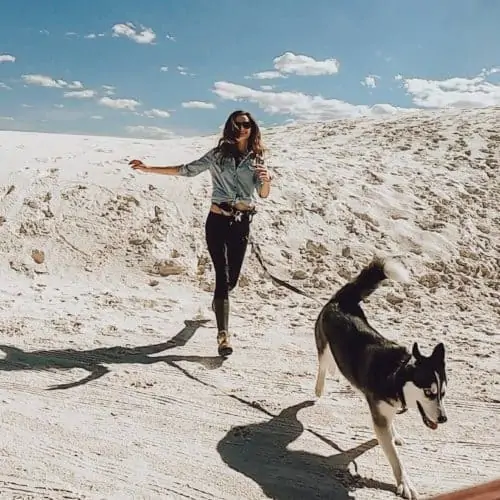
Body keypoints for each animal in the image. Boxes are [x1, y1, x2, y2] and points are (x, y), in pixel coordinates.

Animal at [314, 258, 448, 500]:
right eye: (429, 392)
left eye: (442, 393)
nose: (443, 419)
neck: (396, 376)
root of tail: (342, 301)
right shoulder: (380, 418)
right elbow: (396, 459)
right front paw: (404, 483)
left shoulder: (387, 410)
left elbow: (391, 428)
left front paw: (395, 434)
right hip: (323, 342)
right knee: (323, 362)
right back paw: (321, 384)